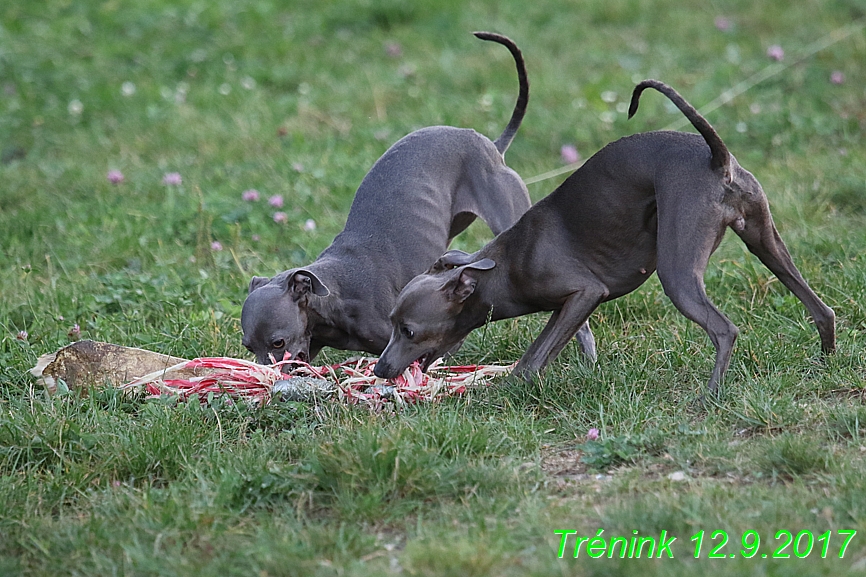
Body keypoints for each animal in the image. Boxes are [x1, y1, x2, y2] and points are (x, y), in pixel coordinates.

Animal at [374, 79, 832, 394]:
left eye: (409, 331)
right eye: (393, 322)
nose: (379, 369)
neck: (504, 265)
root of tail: (715, 157)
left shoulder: (584, 292)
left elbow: (533, 358)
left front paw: (505, 391)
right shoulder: (569, 307)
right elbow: (546, 350)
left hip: (679, 273)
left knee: (724, 330)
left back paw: (709, 395)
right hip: (764, 240)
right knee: (821, 309)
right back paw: (826, 364)